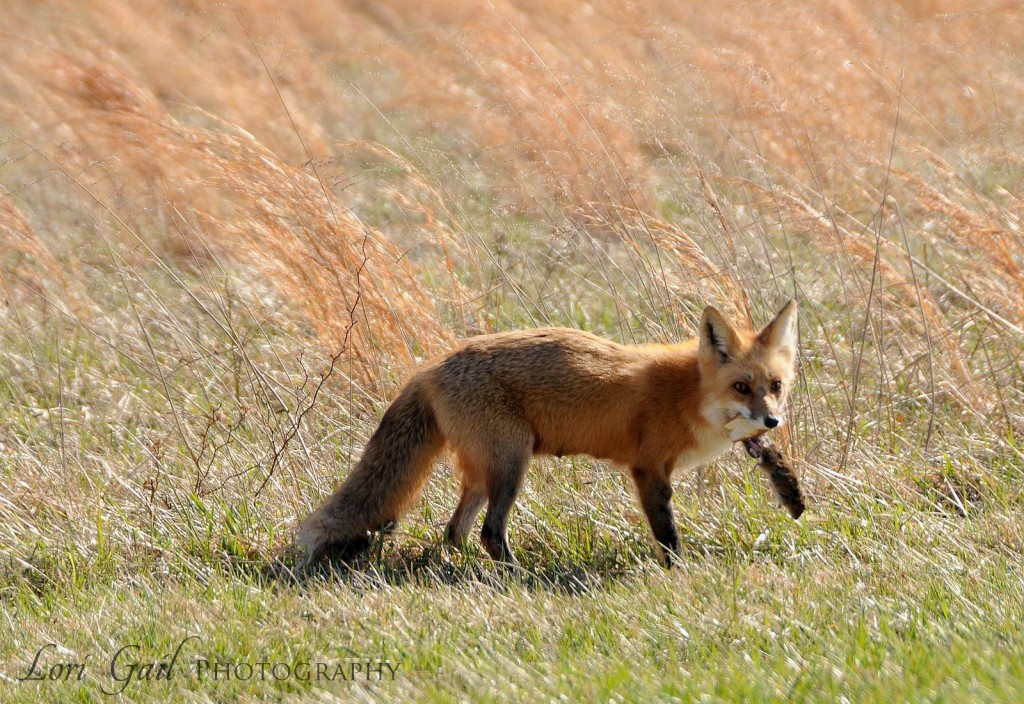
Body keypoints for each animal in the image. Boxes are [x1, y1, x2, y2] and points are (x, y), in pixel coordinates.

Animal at [296, 298, 798, 568]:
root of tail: (431, 366)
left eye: (775, 387)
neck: (687, 395)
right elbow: (668, 536)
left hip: (484, 473)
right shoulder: (648, 469)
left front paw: (784, 483)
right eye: (741, 387)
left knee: (454, 532)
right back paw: (518, 577)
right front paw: (679, 576)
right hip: (510, 465)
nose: (772, 421)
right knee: (489, 533)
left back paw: (462, 569)